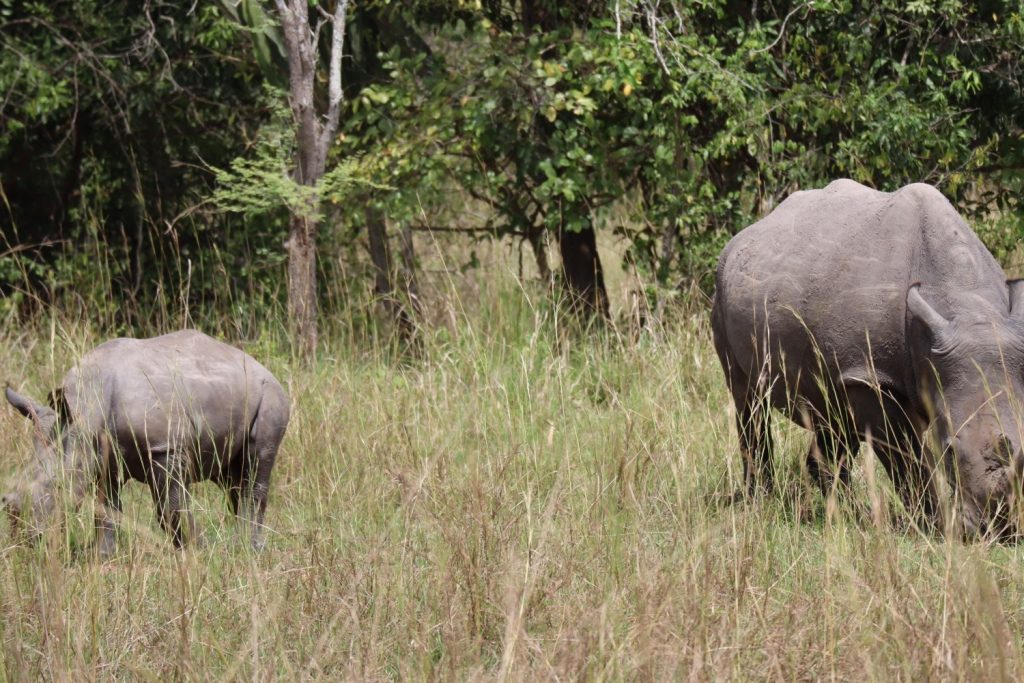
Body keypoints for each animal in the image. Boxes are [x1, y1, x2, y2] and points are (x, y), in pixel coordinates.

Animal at [3, 327, 288, 557]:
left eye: (57, 485)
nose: (24, 537)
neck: (85, 411)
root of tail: (264, 368)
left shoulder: (165, 447)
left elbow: (169, 507)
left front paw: (197, 551)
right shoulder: (103, 456)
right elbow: (107, 509)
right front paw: (103, 557)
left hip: (269, 394)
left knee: (257, 463)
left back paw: (249, 550)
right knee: (231, 477)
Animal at [712, 179, 1024, 536]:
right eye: (947, 451)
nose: (998, 528)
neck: (967, 304)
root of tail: (741, 237)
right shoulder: (873, 378)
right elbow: (906, 458)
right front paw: (934, 527)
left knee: (833, 416)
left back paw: (849, 516)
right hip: (721, 293)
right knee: (747, 399)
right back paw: (762, 502)